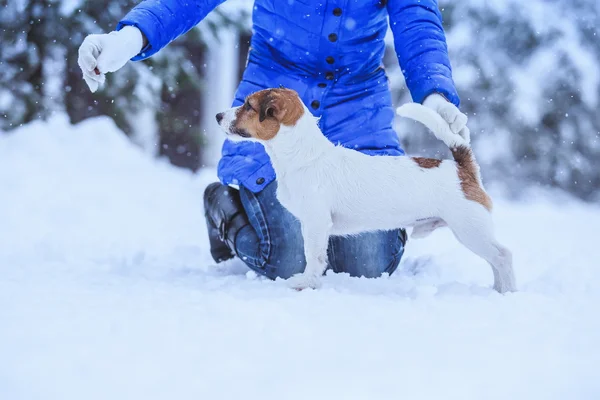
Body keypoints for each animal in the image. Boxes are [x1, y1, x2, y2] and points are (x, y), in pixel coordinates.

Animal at [216, 88, 516, 294]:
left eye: (248, 105)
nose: (218, 115)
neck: (305, 156)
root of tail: (462, 168)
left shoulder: (315, 224)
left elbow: (313, 257)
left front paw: (306, 282)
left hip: (470, 228)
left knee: (503, 256)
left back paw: (508, 291)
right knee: (495, 260)